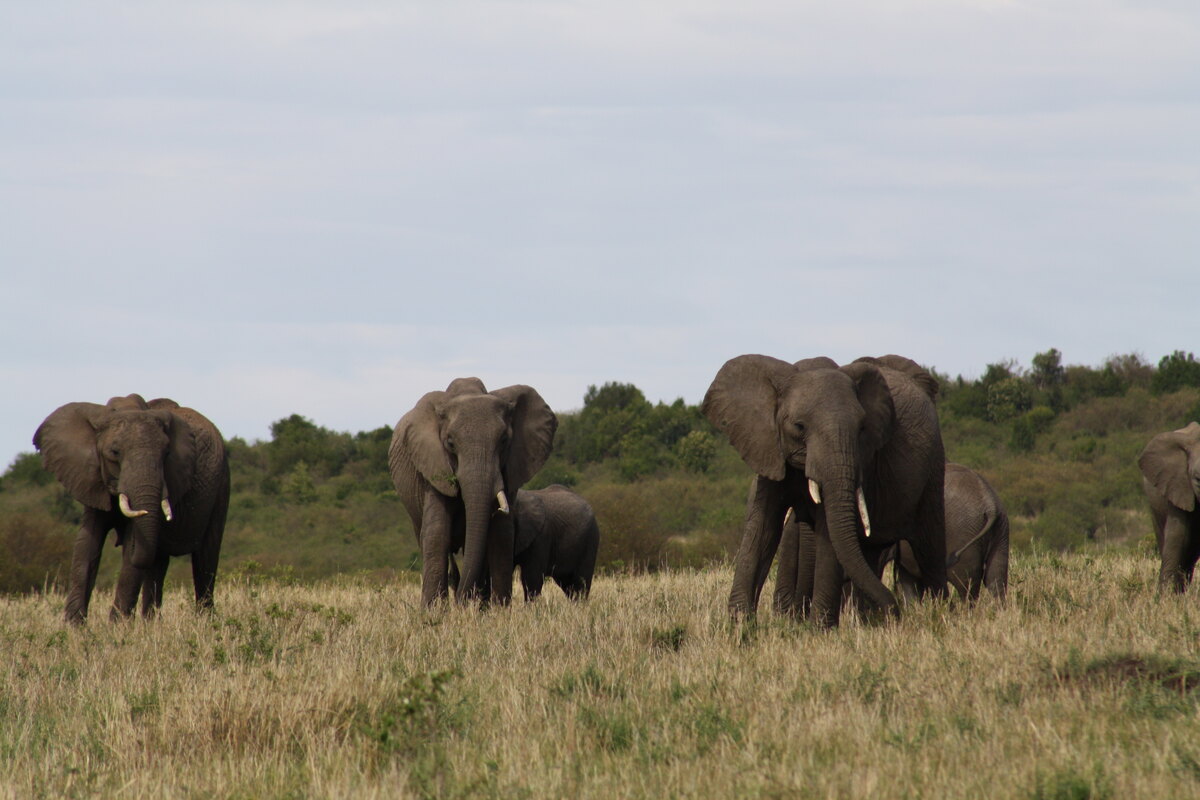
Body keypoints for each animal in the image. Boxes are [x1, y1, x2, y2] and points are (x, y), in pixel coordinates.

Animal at [33, 394, 230, 623]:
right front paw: (73, 626)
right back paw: (151, 624)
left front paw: (116, 627)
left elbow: (133, 545)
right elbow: (87, 543)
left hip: (221, 483)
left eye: (166, 453)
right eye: (114, 453)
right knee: (158, 563)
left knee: (205, 556)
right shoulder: (91, 479)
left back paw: (205, 622)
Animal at [389, 377, 557, 606]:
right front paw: (433, 611)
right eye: (450, 443)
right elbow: (437, 531)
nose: (461, 600)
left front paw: (498, 610)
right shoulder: (432, 464)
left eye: (504, 440)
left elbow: (501, 534)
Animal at [702, 354, 946, 625]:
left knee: (930, 545)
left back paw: (941, 613)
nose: (895, 611)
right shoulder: (768, 447)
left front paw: (819, 629)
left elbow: (828, 530)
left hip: (933, 465)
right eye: (799, 427)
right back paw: (869, 621)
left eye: (862, 428)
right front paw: (740, 625)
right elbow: (763, 528)